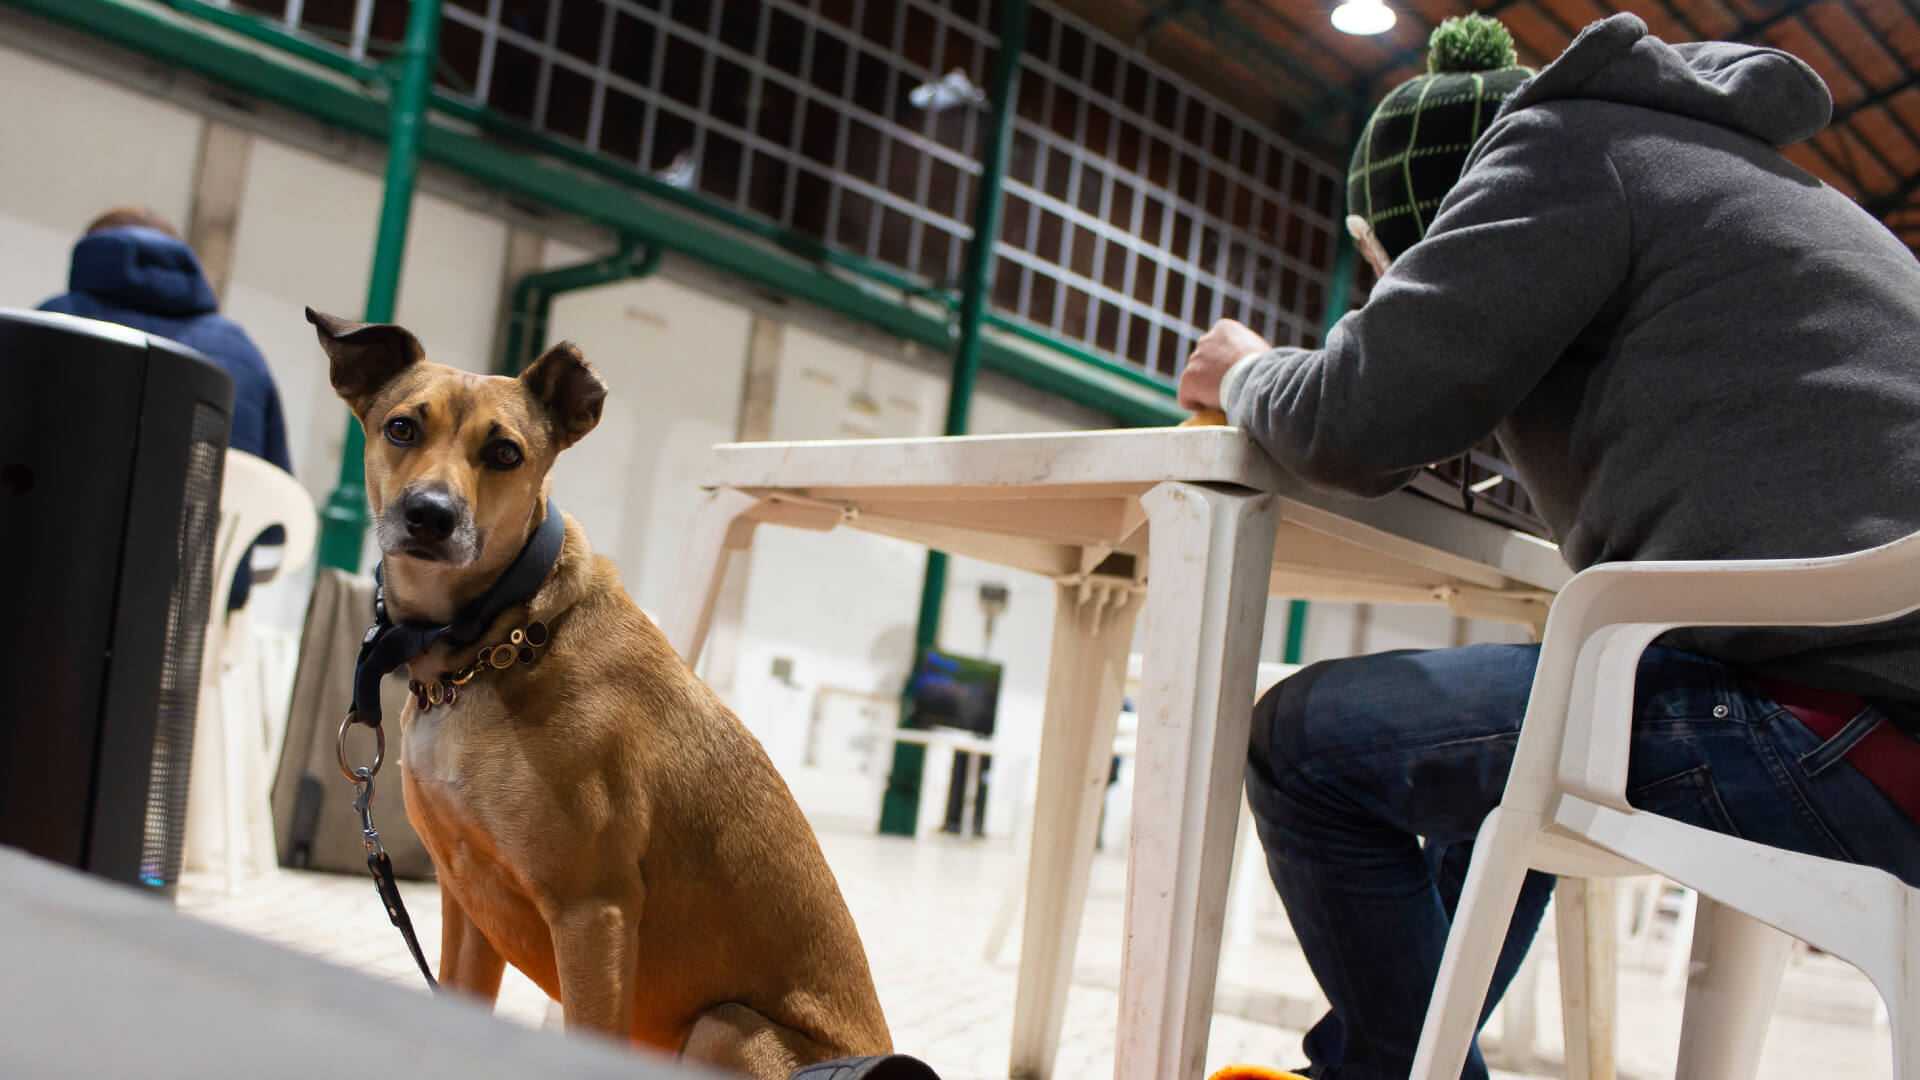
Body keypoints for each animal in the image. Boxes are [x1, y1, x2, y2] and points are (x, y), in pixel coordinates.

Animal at [307, 307, 890, 1068]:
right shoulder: (466, 903)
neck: (498, 638)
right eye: (401, 427)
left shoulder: (592, 911)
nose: (430, 514)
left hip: (727, 1025)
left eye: (505, 453)